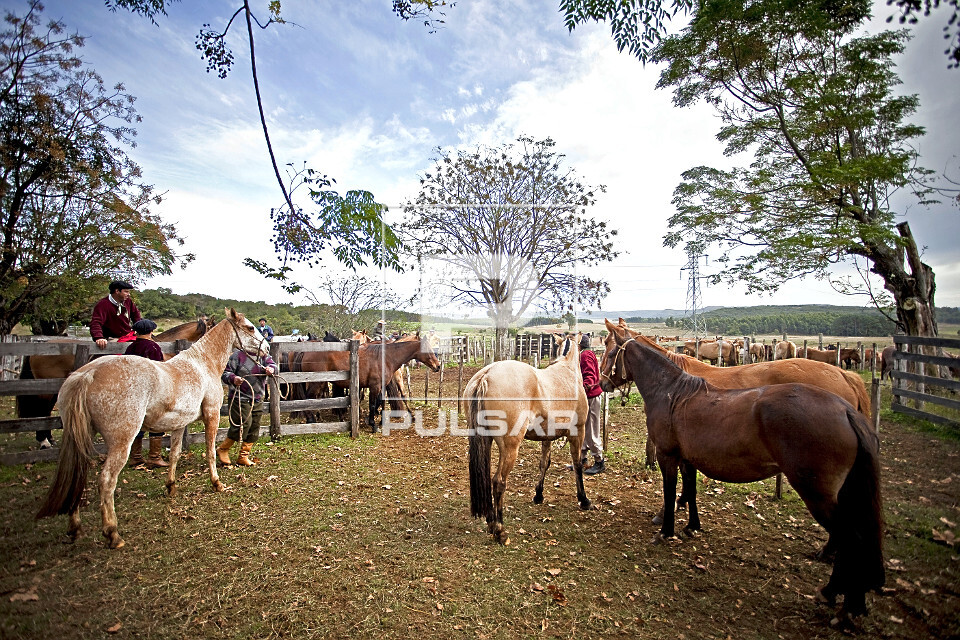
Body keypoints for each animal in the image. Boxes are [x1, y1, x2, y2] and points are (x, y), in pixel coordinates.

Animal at [35, 310, 266, 552]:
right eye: (250, 327)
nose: (267, 347)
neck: (202, 364)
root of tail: (87, 375)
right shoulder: (211, 416)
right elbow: (211, 452)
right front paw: (217, 483)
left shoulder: (180, 424)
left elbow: (175, 455)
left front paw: (171, 487)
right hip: (121, 441)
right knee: (106, 481)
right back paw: (113, 534)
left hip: (83, 437)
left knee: (78, 477)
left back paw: (75, 528)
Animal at [466, 340, 588, 544]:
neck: (568, 370)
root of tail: (487, 375)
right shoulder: (578, 432)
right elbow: (578, 464)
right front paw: (584, 500)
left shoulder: (547, 437)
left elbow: (544, 463)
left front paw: (538, 495)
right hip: (510, 448)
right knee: (498, 481)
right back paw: (499, 530)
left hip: (487, 442)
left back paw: (491, 522)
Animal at [600, 330, 884, 624]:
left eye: (610, 352)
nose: (601, 382)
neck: (674, 392)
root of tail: (845, 410)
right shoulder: (689, 458)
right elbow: (691, 490)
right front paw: (692, 525)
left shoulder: (669, 455)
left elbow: (670, 493)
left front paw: (666, 530)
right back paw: (841, 593)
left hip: (818, 494)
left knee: (851, 538)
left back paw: (843, 599)